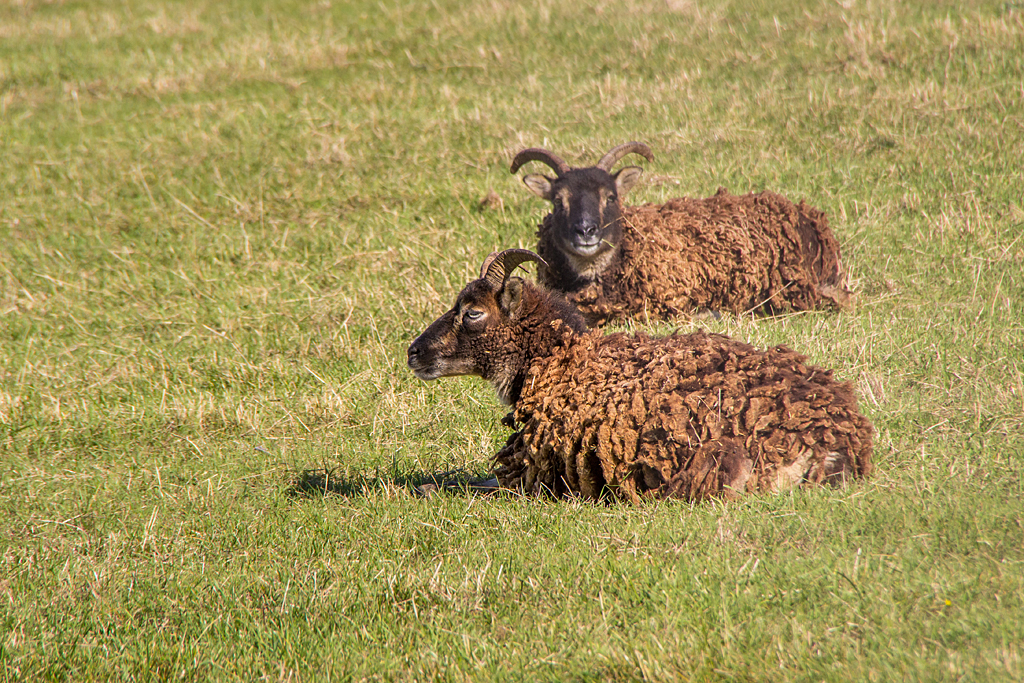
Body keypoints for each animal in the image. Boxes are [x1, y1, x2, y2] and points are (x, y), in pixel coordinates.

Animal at [407, 249, 872, 501]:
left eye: (472, 313)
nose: (413, 352)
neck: (560, 362)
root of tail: (841, 438)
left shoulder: (536, 475)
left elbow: (476, 484)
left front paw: (424, 487)